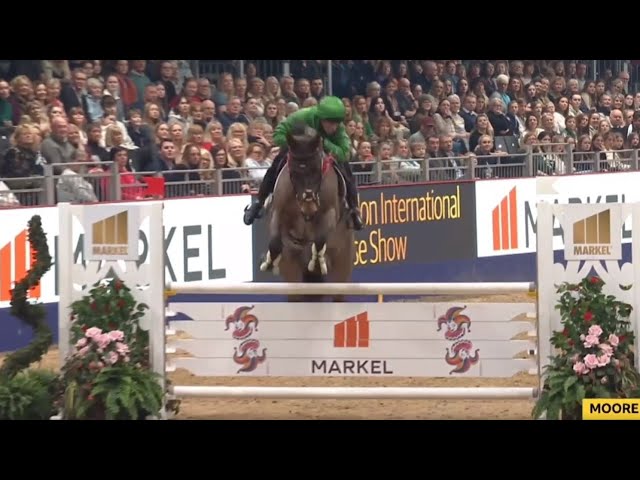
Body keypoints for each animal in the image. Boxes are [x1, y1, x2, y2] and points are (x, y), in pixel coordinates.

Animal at [258, 124, 356, 304]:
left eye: (317, 169)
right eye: (294, 172)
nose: (308, 205)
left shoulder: (330, 213)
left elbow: (320, 239)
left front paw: (317, 260)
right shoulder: (278, 211)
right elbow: (275, 241)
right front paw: (270, 261)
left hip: (342, 266)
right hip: (295, 279)